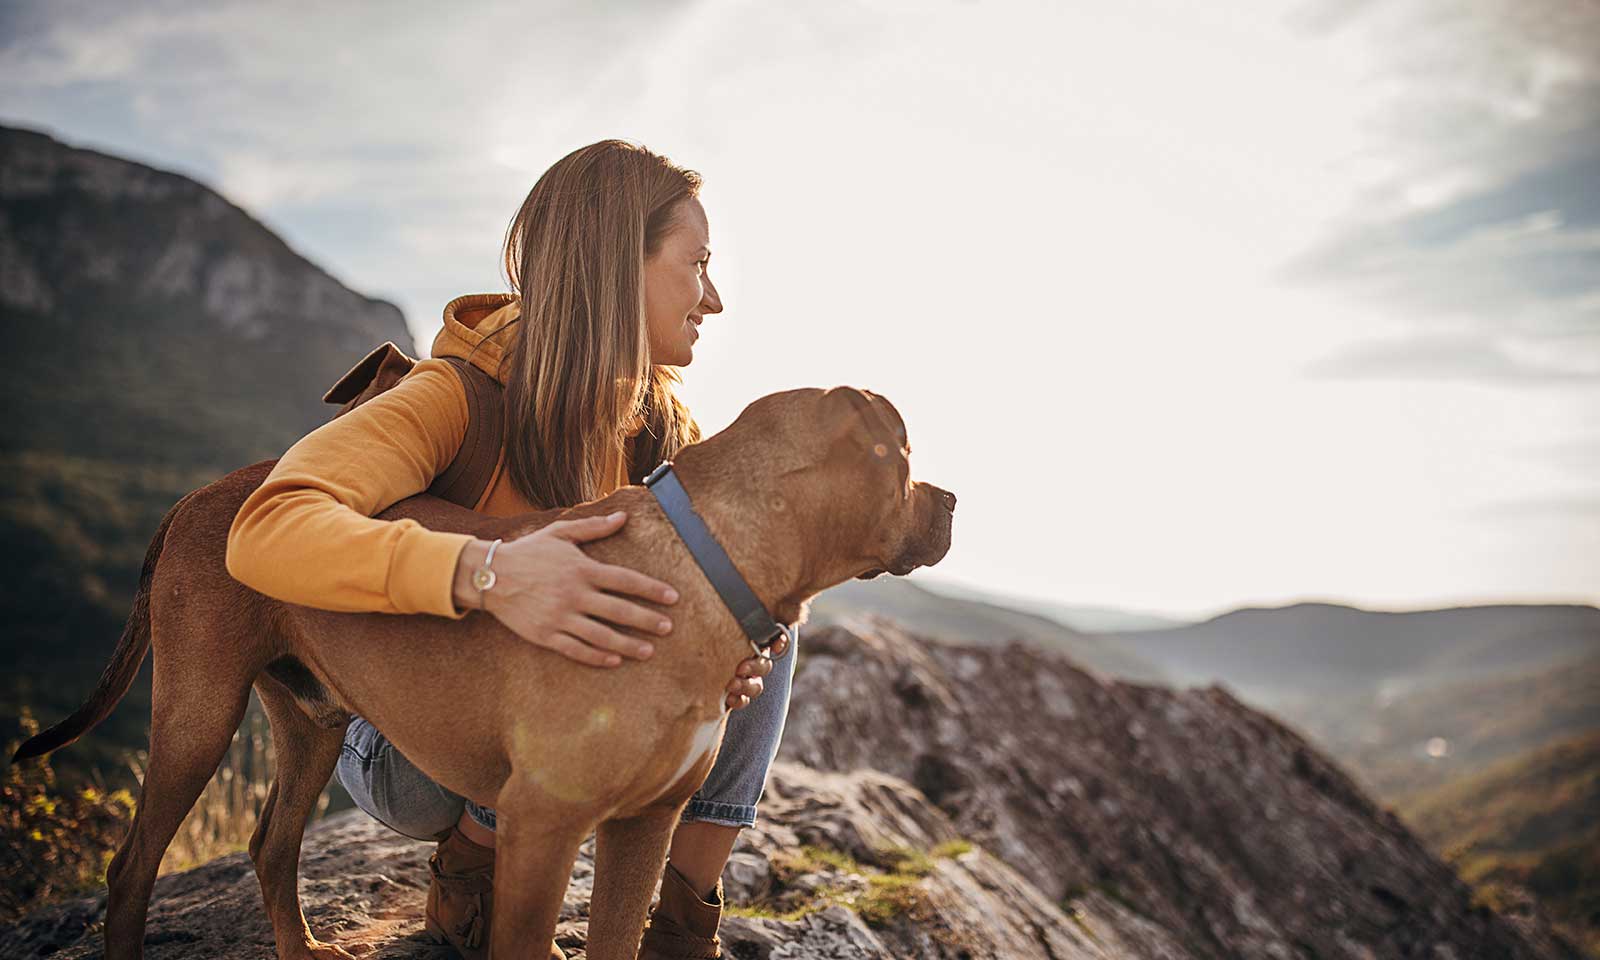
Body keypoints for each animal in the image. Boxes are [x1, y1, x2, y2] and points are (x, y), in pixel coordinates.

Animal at [12, 385, 947, 960]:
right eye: (904, 456)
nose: (954, 502)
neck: (707, 557)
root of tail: (203, 495)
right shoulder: (544, 826)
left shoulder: (643, 826)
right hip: (199, 715)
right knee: (132, 866)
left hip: (312, 723)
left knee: (270, 844)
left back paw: (301, 946)